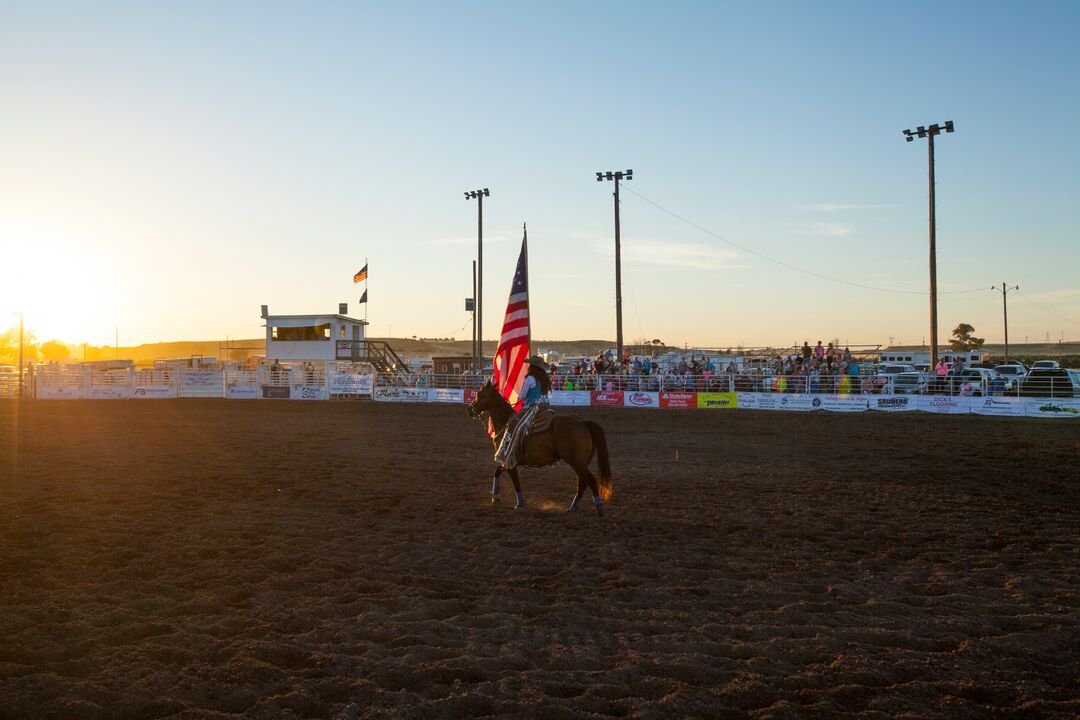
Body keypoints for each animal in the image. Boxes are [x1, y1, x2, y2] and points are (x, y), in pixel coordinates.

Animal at [466, 382, 613, 511]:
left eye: (479, 394)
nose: (469, 409)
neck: (505, 422)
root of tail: (584, 422)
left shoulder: (508, 458)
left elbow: (515, 481)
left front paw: (519, 504)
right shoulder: (507, 460)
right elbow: (497, 472)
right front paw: (495, 497)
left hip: (575, 461)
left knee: (590, 480)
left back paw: (598, 506)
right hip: (580, 463)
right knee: (582, 482)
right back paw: (573, 507)